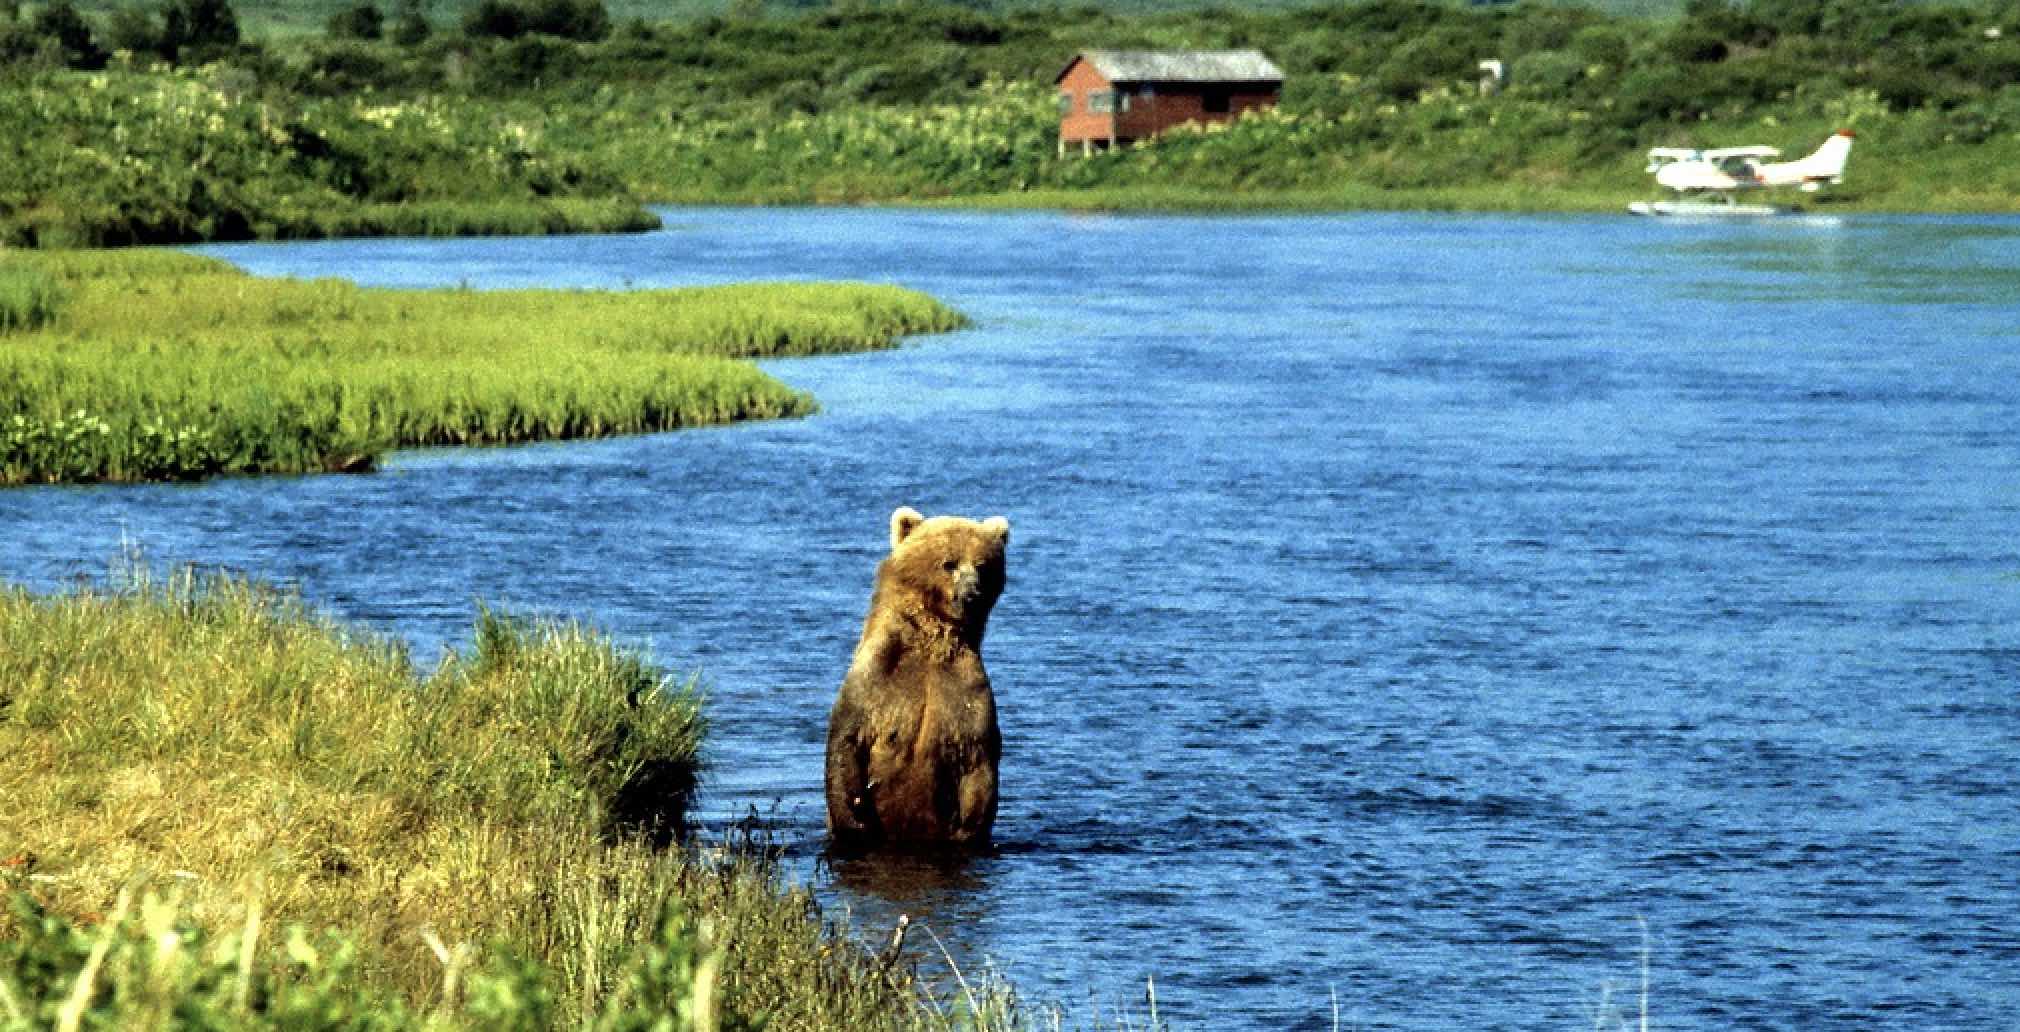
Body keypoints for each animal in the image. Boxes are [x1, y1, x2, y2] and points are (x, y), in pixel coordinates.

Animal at [820, 504, 1010, 852]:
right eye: (949, 563)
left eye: (983, 565)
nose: (971, 593)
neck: (931, 641)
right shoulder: (875, 682)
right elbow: (847, 742)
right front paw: (854, 821)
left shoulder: (965, 692)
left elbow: (978, 758)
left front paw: (970, 828)